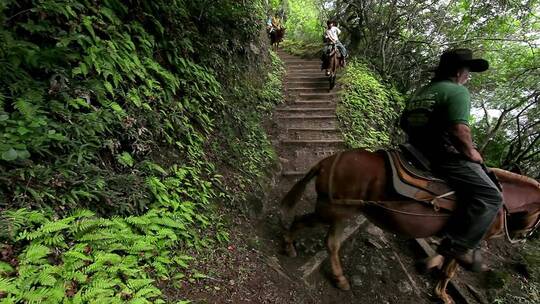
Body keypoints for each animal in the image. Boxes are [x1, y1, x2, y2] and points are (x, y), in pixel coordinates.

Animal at [280, 149, 540, 304]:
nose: (523, 234)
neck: (502, 199)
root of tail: (328, 161)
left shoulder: (454, 238)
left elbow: (443, 256)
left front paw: (429, 267)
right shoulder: (469, 238)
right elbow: (449, 269)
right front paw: (442, 293)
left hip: (341, 212)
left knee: (331, 243)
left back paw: (338, 277)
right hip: (334, 209)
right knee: (303, 221)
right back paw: (289, 245)